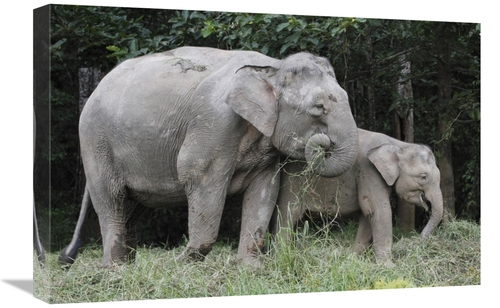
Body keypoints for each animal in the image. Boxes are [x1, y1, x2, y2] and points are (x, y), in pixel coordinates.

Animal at [59, 47, 360, 268]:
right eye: (318, 108)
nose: (323, 142)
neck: (272, 67)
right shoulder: (215, 122)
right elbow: (198, 175)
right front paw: (183, 263)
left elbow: (265, 188)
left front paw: (250, 268)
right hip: (95, 141)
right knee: (112, 199)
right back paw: (116, 270)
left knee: (131, 207)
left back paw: (128, 267)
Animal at [276, 128, 444, 268]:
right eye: (423, 177)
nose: (412, 242)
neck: (400, 145)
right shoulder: (368, 170)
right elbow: (380, 211)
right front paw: (389, 267)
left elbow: (368, 213)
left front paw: (353, 260)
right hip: (292, 181)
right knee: (288, 214)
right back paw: (282, 254)